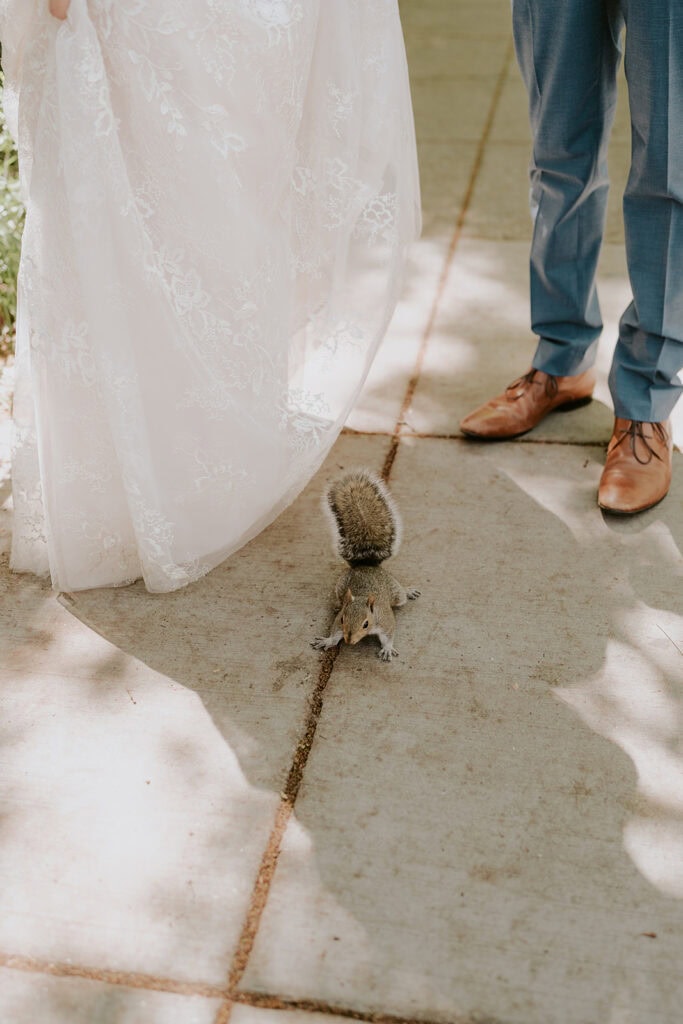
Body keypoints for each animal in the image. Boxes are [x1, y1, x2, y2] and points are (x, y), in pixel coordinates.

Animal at [310, 469, 420, 661]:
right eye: (342, 619)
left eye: (366, 624)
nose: (349, 641)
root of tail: (366, 564)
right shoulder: (340, 622)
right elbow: (335, 632)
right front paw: (329, 641)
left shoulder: (385, 621)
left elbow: (389, 634)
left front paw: (387, 648)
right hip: (340, 585)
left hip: (394, 591)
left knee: (400, 595)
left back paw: (408, 591)